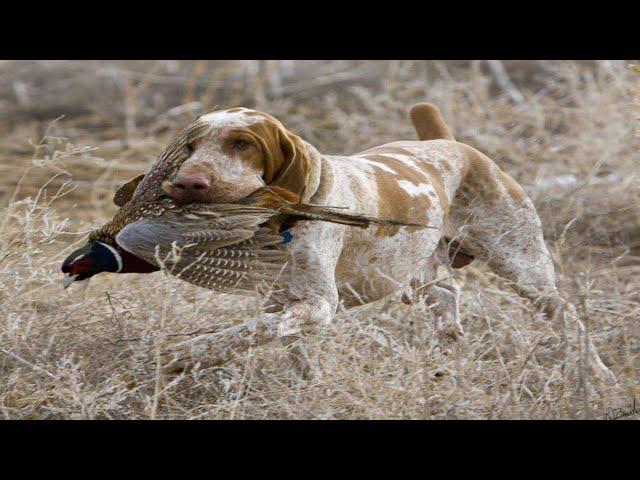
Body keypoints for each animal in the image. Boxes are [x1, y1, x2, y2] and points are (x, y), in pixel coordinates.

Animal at [151, 104, 616, 382]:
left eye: (242, 143)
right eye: (190, 146)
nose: (185, 183)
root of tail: (453, 145)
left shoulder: (319, 303)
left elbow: (245, 333)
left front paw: (187, 352)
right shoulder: (280, 301)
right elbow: (277, 337)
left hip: (527, 272)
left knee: (569, 318)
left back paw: (597, 376)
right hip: (429, 280)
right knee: (449, 311)